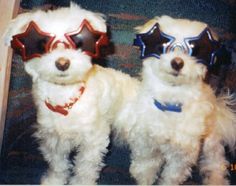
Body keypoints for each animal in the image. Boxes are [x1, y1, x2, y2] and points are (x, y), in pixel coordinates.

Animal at [113, 15, 235, 185]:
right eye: (162, 46)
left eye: (195, 51)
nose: (177, 62)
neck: (169, 103)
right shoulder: (145, 141)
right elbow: (146, 164)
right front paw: (144, 178)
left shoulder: (182, 156)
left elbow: (171, 176)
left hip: (210, 143)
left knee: (216, 164)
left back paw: (216, 180)